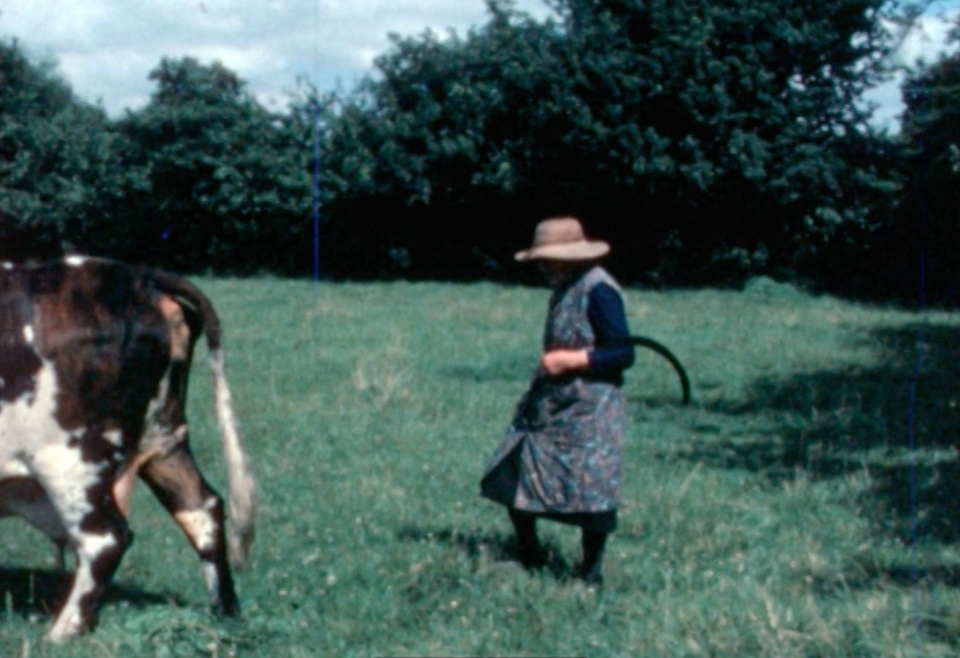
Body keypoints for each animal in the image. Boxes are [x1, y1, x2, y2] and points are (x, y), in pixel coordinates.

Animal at [0, 256, 255, 640]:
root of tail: (140, 277)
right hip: (165, 439)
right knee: (203, 509)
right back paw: (224, 614)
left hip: (69, 459)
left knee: (106, 538)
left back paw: (61, 634)